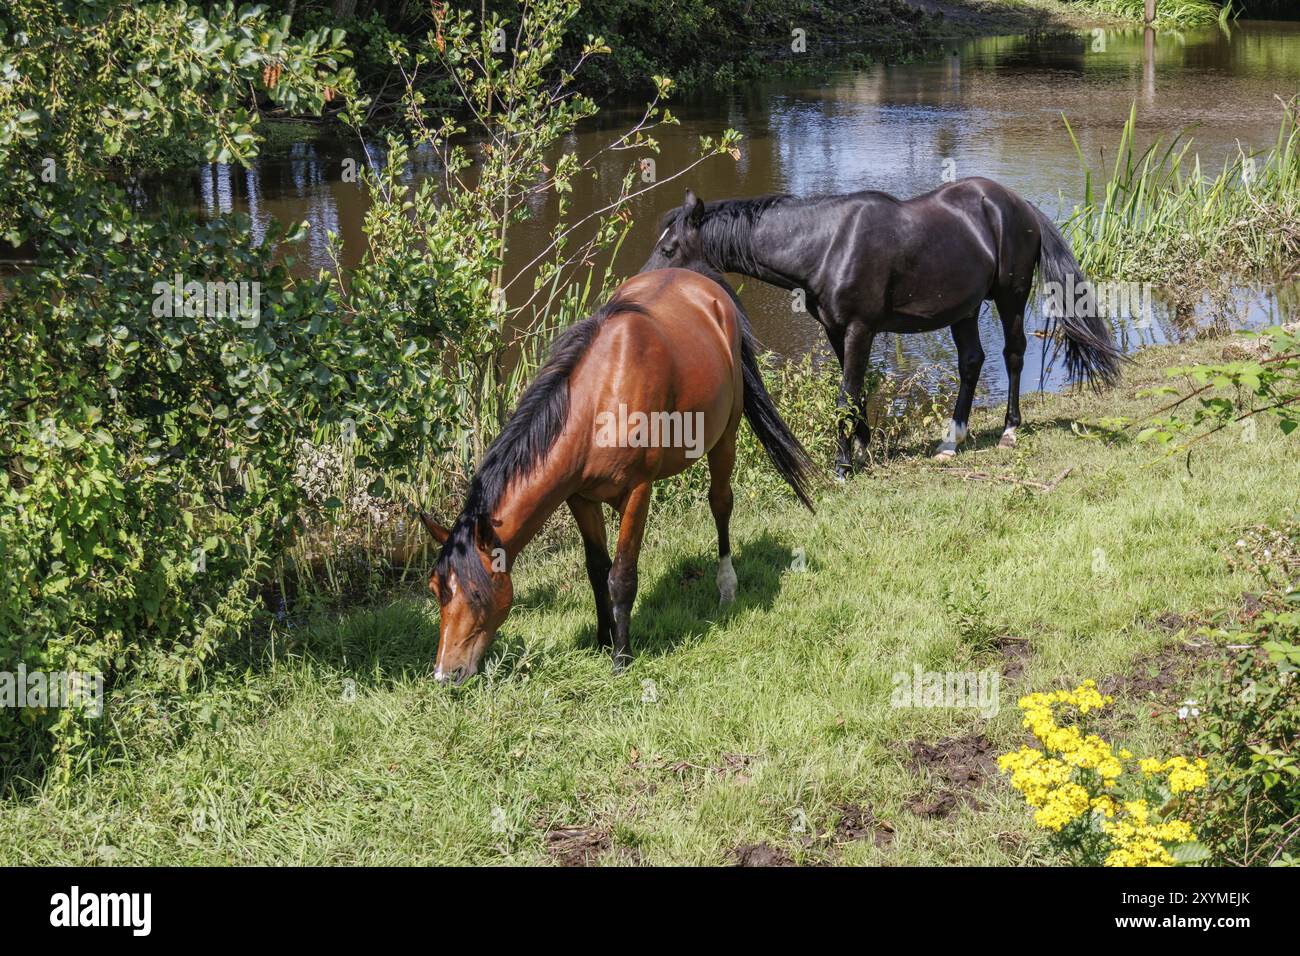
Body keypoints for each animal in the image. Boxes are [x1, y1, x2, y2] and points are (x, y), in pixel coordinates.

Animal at [418, 269, 811, 686]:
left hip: (725, 436)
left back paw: (726, 588)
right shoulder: (580, 498)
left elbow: (621, 575)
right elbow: (596, 569)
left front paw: (622, 658)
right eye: (435, 590)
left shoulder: (638, 491)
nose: (444, 674)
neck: (598, 403)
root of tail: (705, 283)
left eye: (476, 595)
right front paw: (603, 639)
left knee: (721, 503)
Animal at [644, 178, 1123, 476]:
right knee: (972, 362)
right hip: (965, 311)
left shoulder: (860, 329)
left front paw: (842, 467)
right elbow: (857, 394)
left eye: (669, 248)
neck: (825, 244)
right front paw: (863, 448)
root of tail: (1019, 205)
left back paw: (1009, 429)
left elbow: (845, 396)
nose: (640, 285)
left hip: (1010, 298)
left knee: (1013, 354)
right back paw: (951, 440)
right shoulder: (837, 331)